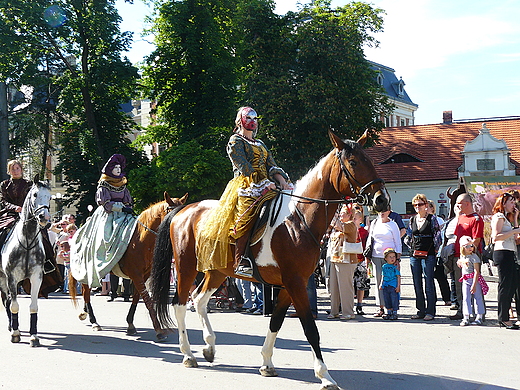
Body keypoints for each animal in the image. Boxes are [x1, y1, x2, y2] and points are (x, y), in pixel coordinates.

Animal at [0, 175, 50, 346]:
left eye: (50, 197)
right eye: (35, 194)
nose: (44, 218)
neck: (26, 242)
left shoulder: (36, 278)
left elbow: (33, 307)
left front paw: (34, 336)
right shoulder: (12, 278)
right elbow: (14, 306)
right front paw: (15, 334)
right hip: (3, 279)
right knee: (6, 301)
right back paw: (11, 327)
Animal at [69, 192, 187, 342]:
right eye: (172, 213)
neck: (141, 240)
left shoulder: (143, 276)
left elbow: (136, 297)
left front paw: (130, 324)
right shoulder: (136, 275)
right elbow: (147, 300)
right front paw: (159, 330)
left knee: (86, 294)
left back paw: (86, 314)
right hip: (88, 271)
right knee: (86, 293)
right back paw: (94, 321)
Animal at [150, 132, 390, 390]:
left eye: (371, 160)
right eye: (353, 162)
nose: (381, 200)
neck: (298, 220)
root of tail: (184, 210)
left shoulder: (289, 285)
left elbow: (276, 321)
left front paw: (266, 363)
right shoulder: (295, 283)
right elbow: (310, 329)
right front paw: (325, 376)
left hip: (217, 271)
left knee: (199, 299)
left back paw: (209, 347)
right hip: (185, 267)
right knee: (180, 304)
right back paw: (188, 354)